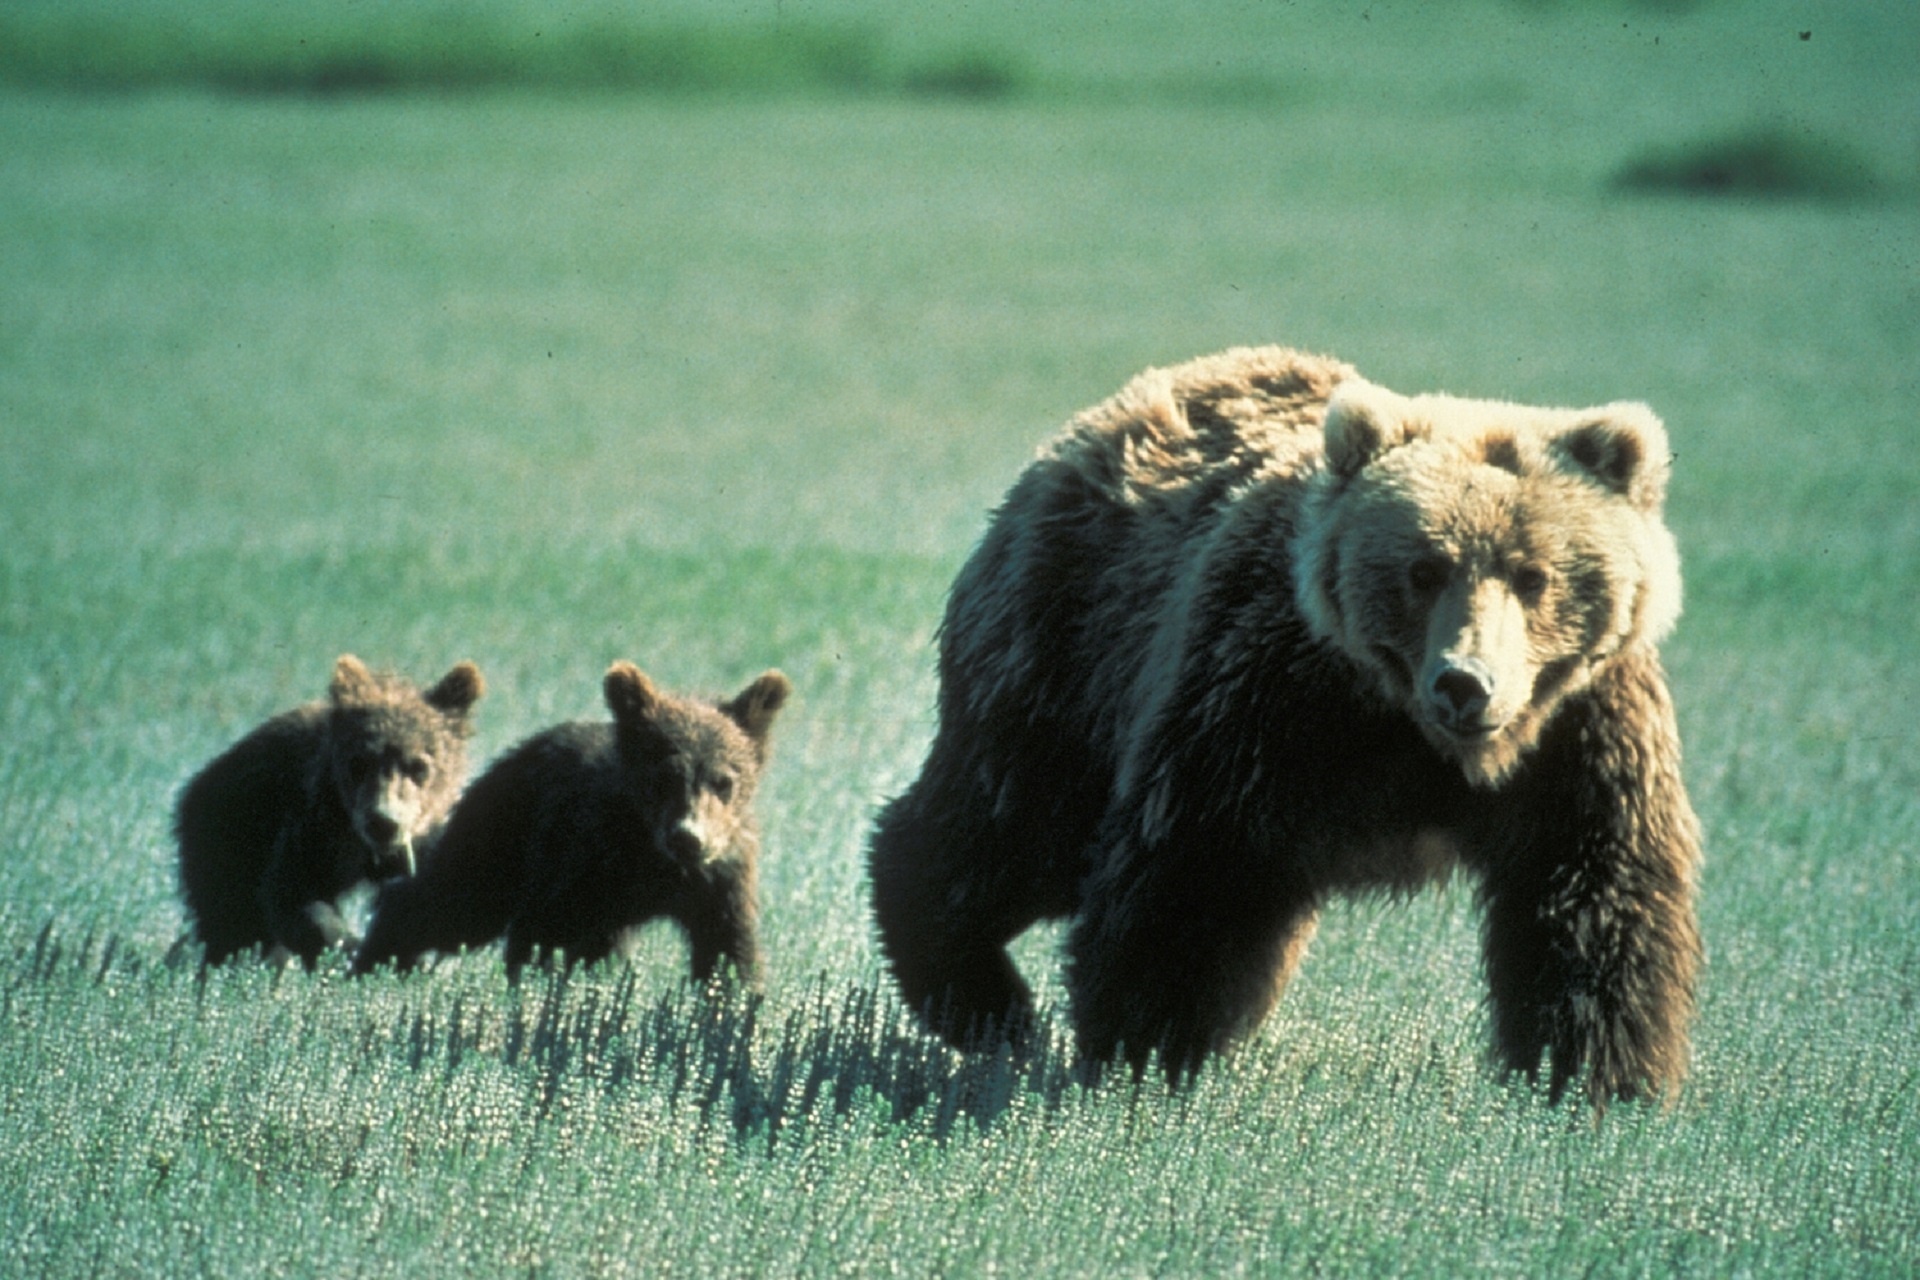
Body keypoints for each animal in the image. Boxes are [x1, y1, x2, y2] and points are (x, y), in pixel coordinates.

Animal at [178, 656, 487, 967]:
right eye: (359, 762)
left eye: (418, 766)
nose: (383, 822)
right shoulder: (317, 827)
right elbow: (293, 892)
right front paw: (347, 948)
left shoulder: (429, 838)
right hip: (226, 836)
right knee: (231, 924)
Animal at [353, 660, 787, 982]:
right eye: (664, 777)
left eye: (724, 781)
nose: (688, 837)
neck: (653, 858)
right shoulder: (583, 858)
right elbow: (544, 933)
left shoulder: (720, 879)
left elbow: (728, 951)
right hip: (500, 830)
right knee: (454, 900)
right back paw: (376, 960)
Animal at [867, 345, 1697, 1105]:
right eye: (1424, 568)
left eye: (1534, 576)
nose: (1466, 682)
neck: (1422, 742)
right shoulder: (1267, 698)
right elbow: (1196, 868)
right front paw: (1145, 1050)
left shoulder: (1583, 733)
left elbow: (1591, 896)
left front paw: (1595, 1079)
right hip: (1069, 653)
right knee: (1004, 826)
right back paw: (985, 1004)